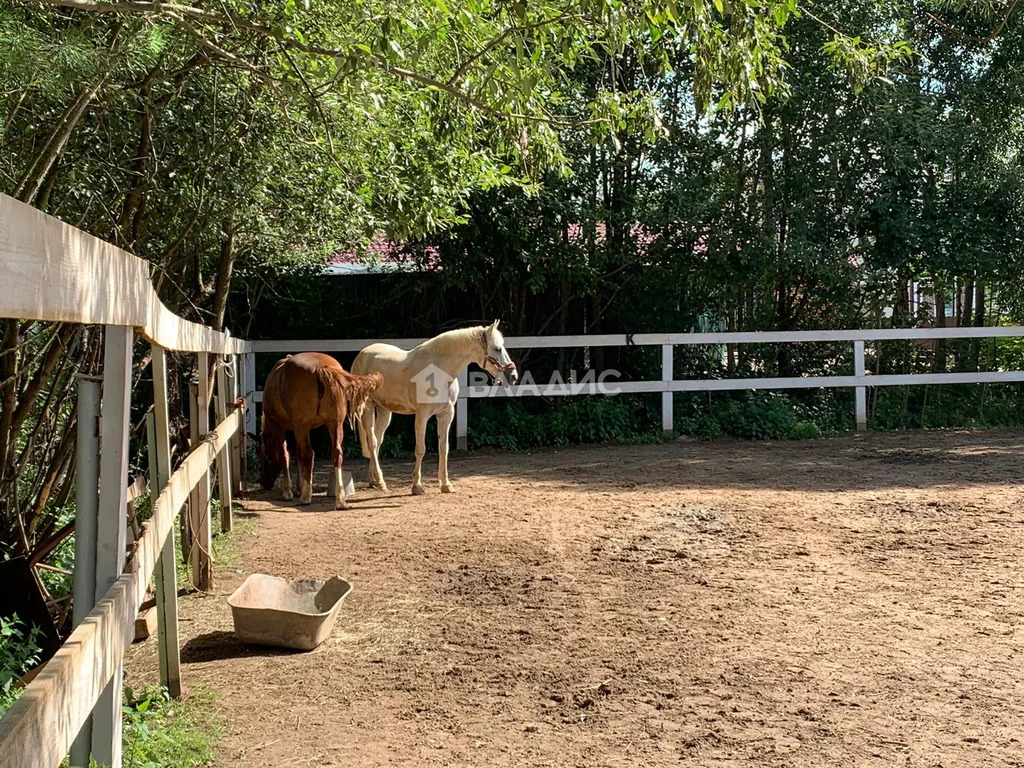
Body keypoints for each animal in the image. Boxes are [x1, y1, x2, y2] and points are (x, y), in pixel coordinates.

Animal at [258, 354, 382, 512]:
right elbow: (298, 454)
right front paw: (298, 487)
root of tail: (321, 368)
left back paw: (306, 496)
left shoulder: (281, 427)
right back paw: (340, 499)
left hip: (303, 426)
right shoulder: (300, 429)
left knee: (309, 454)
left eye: (261, 456)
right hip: (334, 424)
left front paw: (289, 491)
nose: (262, 482)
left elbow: (286, 455)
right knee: (336, 453)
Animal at [352, 319, 516, 495]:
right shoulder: (421, 416)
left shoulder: (446, 414)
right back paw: (381, 482)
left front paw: (446, 485)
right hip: (367, 407)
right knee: (372, 442)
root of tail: (362, 354)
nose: (513, 376)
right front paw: (417, 486)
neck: (439, 372)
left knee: (377, 440)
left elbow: (444, 448)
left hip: (384, 410)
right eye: (497, 348)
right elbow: (420, 449)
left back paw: (373, 480)